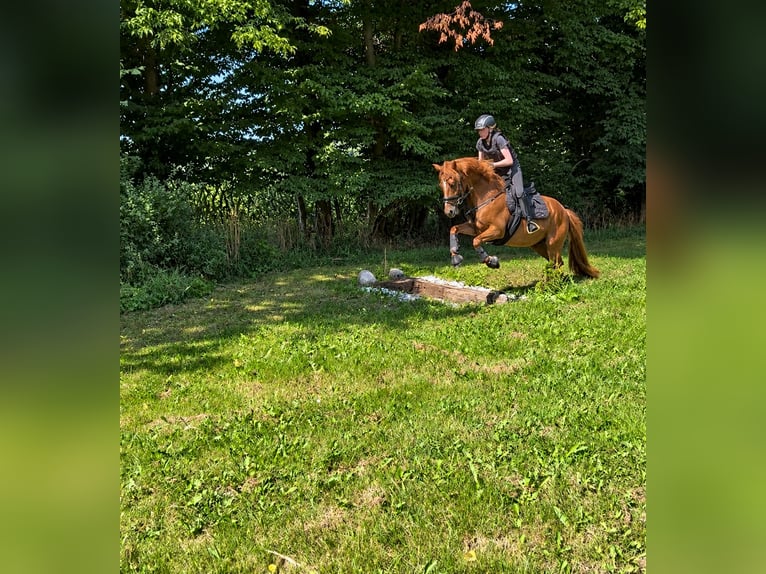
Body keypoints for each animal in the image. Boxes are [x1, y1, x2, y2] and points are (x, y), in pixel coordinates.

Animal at [432, 157, 600, 278]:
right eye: (441, 185)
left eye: (453, 183)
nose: (449, 211)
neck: (486, 198)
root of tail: (564, 211)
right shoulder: (475, 228)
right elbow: (454, 229)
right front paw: (455, 257)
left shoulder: (497, 230)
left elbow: (476, 241)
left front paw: (491, 261)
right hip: (539, 245)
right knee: (557, 263)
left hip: (553, 243)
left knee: (555, 262)